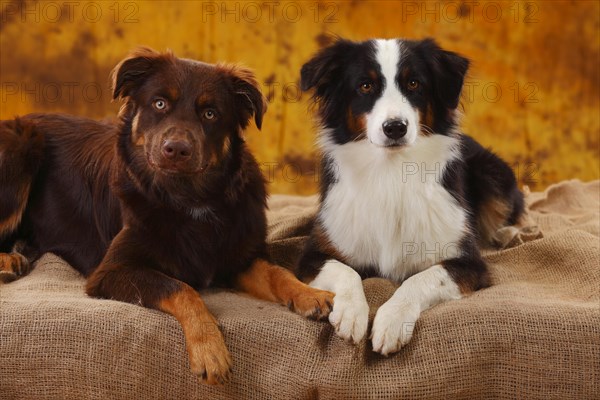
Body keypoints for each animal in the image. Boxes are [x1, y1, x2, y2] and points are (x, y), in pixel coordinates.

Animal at [0, 48, 332, 386]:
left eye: (210, 113)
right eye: (159, 104)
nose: (176, 149)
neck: (189, 198)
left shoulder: (240, 257)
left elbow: (278, 272)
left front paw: (309, 293)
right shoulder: (111, 271)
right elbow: (180, 288)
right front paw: (210, 349)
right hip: (21, 147)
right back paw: (8, 262)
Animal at [298, 37, 524, 354]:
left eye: (414, 83)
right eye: (365, 86)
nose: (395, 127)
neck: (392, 172)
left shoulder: (469, 263)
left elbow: (420, 278)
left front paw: (391, 321)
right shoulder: (313, 254)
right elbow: (345, 271)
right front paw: (352, 313)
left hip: (493, 170)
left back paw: (510, 234)